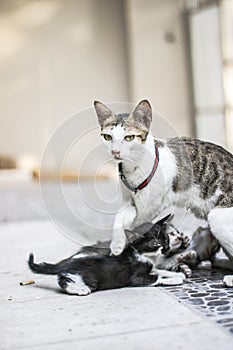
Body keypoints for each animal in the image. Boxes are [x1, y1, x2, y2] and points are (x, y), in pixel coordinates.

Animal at [28, 216, 186, 296]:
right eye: (155, 244)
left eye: (166, 239)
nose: (166, 248)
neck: (145, 256)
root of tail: (66, 263)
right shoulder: (136, 277)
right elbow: (156, 277)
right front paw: (175, 279)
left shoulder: (151, 266)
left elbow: (159, 270)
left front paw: (176, 274)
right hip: (86, 278)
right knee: (64, 281)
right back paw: (80, 289)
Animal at [93, 100, 233, 286]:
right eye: (108, 137)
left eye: (129, 137)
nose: (115, 152)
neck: (134, 167)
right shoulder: (129, 202)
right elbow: (119, 219)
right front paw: (116, 245)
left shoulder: (149, 209)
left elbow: (138, 229)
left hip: (218, 218)